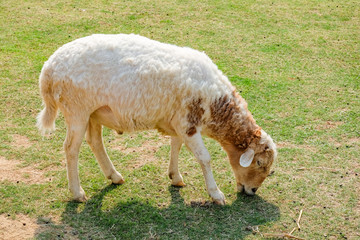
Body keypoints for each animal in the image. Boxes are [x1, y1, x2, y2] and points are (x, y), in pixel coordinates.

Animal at [36, 33, 278, 204]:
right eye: (259, 162)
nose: (252, 190)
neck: (216, 104)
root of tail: (48, 69)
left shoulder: (178, 121)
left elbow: (176, 146)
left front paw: (175, 176)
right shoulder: (188, 123)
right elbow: (204, 158)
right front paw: (215, 193)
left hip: (94, 112)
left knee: (95, 142)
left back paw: (114, 176)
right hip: (76, 109)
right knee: (71, 149)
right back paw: (77, 192)